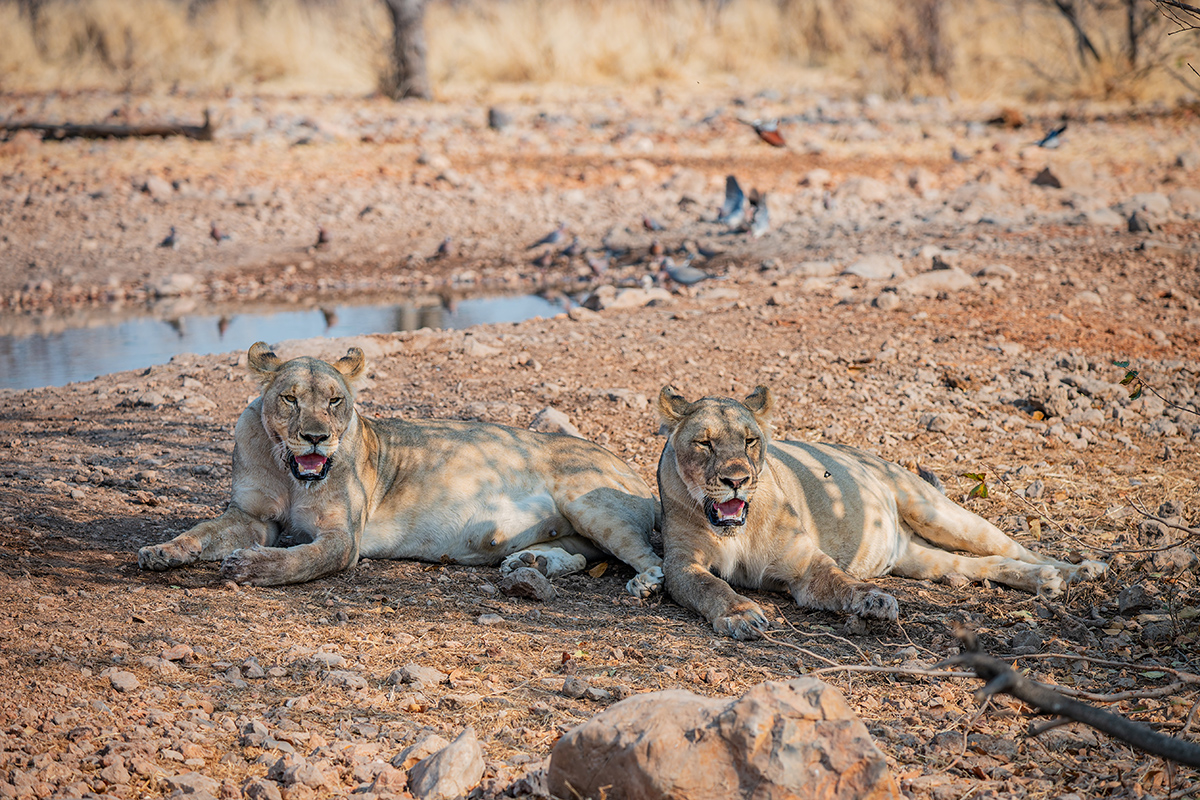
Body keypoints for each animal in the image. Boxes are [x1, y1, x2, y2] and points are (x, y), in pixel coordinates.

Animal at [137, 342, 664, 597]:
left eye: (335, 401)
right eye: (289, 398)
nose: (315, 436)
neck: (290, 474)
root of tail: (633, 469)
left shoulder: (343, 537)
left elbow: (302, 560)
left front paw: (251, 567)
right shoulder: (250, 516)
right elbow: (203, 530)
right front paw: (163, 551)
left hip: (587, 502)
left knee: (648, 557)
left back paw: (643, 584)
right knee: (581, 559)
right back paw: (529, 564)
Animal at [656, 385, 1106, 640]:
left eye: (750, 441)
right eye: (705, 443)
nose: (737, 480)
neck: (738, 530)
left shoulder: (804, 563)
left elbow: (840, 579)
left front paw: (874, 601)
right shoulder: (680, 565)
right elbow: (712, 586)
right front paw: (741, 614)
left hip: (936, 511)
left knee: (1018, 548)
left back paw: (1076, 571)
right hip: (922, 559)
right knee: (978, 564)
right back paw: (1044, 580)